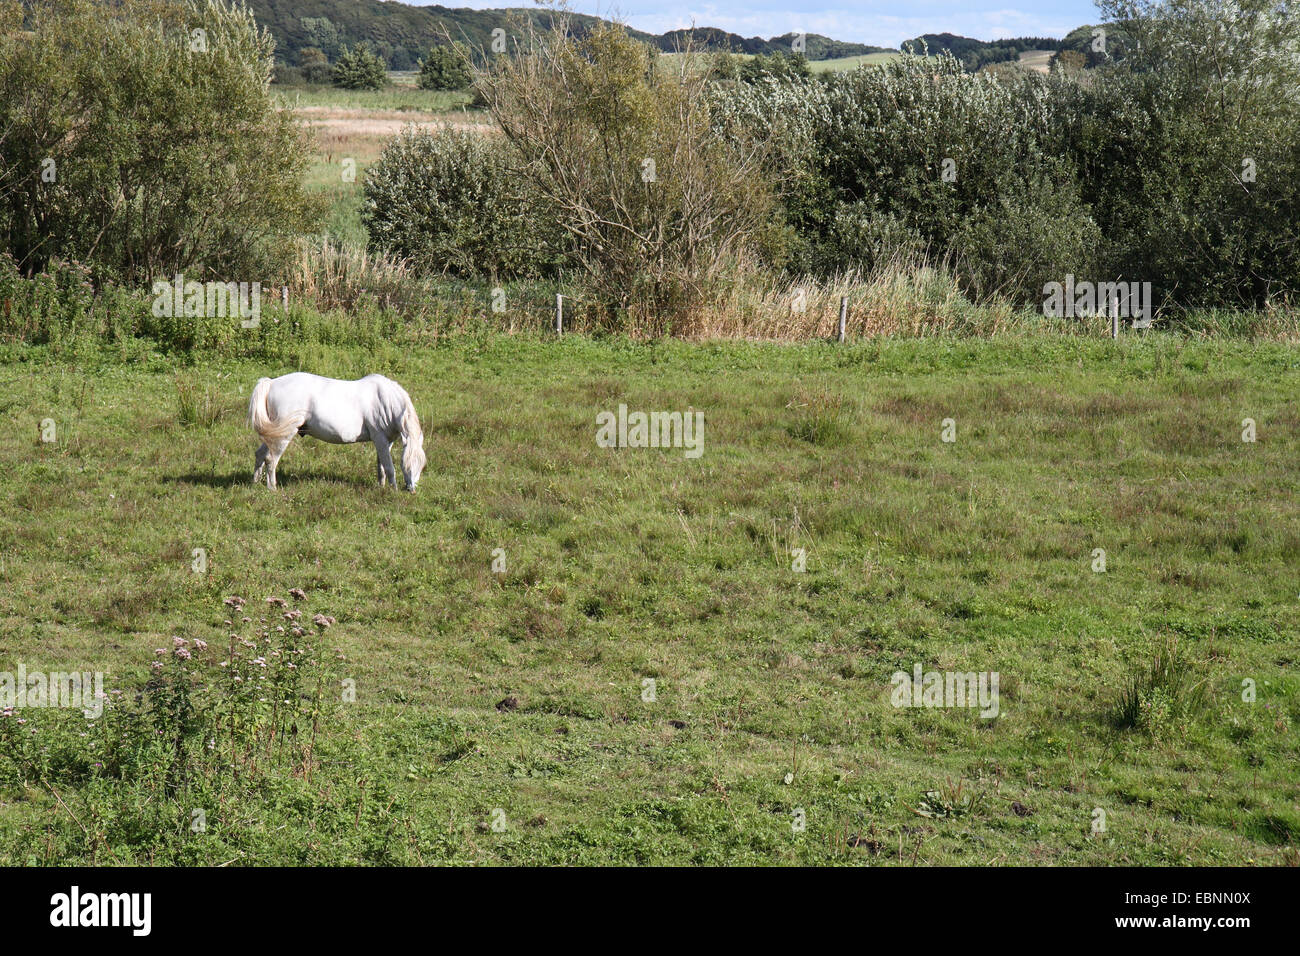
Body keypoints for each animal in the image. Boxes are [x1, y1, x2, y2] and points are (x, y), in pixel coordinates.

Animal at [247, 373, 426, 492]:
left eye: (422, 465)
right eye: (406, 463)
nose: (411, 490)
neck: (385, 400)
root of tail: (271, 383)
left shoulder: (386, 442)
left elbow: (381, 466)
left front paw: (381, 487)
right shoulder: (380, 439)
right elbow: (389, 467)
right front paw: (393, 490)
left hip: (275, 433)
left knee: (260, 454)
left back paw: (255, 483)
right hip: (285, 434)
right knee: (271, 460)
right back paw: (272, 488)